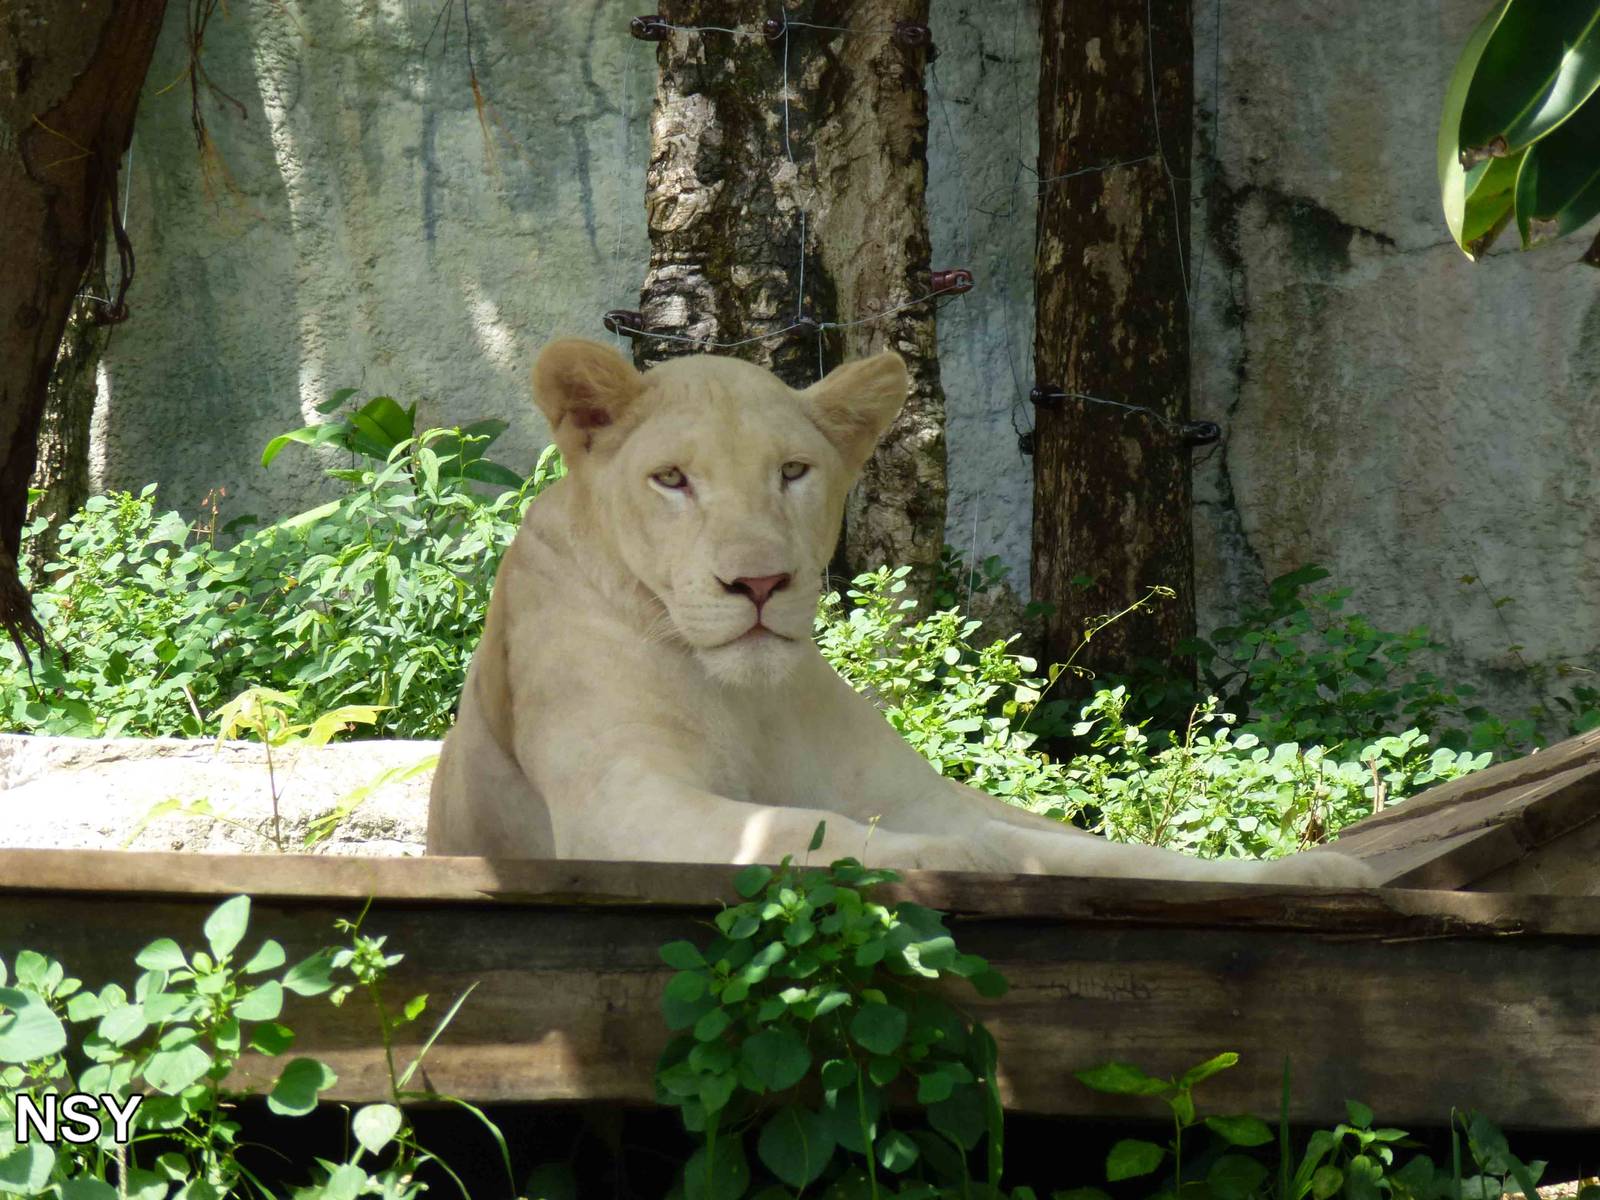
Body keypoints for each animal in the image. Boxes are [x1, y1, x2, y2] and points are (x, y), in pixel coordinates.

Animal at [427, 338, 1375, 886]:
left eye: (793, 472)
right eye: (672, 480)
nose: (760, 585)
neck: (745, 697)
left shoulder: (912, 790)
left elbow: (1103, 853)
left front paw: (1305, 873)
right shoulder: (617, 800)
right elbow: (793, 826)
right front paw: (944, 861)